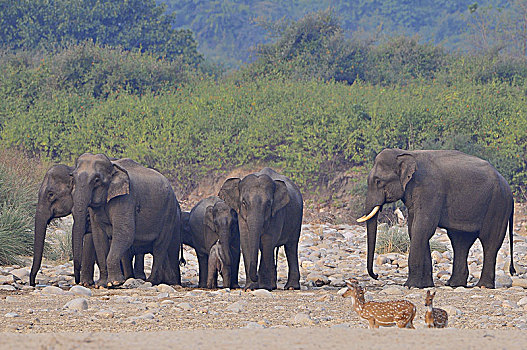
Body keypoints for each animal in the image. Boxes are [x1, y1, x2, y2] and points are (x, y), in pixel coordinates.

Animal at [70, 153, 182, 288]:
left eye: (97, 180)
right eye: (73, 177)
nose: (76, 281)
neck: (113, 167)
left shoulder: (126, 198)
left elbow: (125, 233)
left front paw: (114, 283)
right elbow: (98, 237)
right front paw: (102, 284)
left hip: (169, 213)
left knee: (159, 247)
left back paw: (151, 281)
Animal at [358, 149, 516, 288]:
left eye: (378, 181)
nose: (376, 275)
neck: (406, 153)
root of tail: (508, 187)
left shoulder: (430, 190)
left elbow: (422, 228)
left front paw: (410, 285)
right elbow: (414, 230)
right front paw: (425, 285)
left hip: (498, 205)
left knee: (489, 241)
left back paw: (482, 286)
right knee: (460, 241)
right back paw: (454, 284)